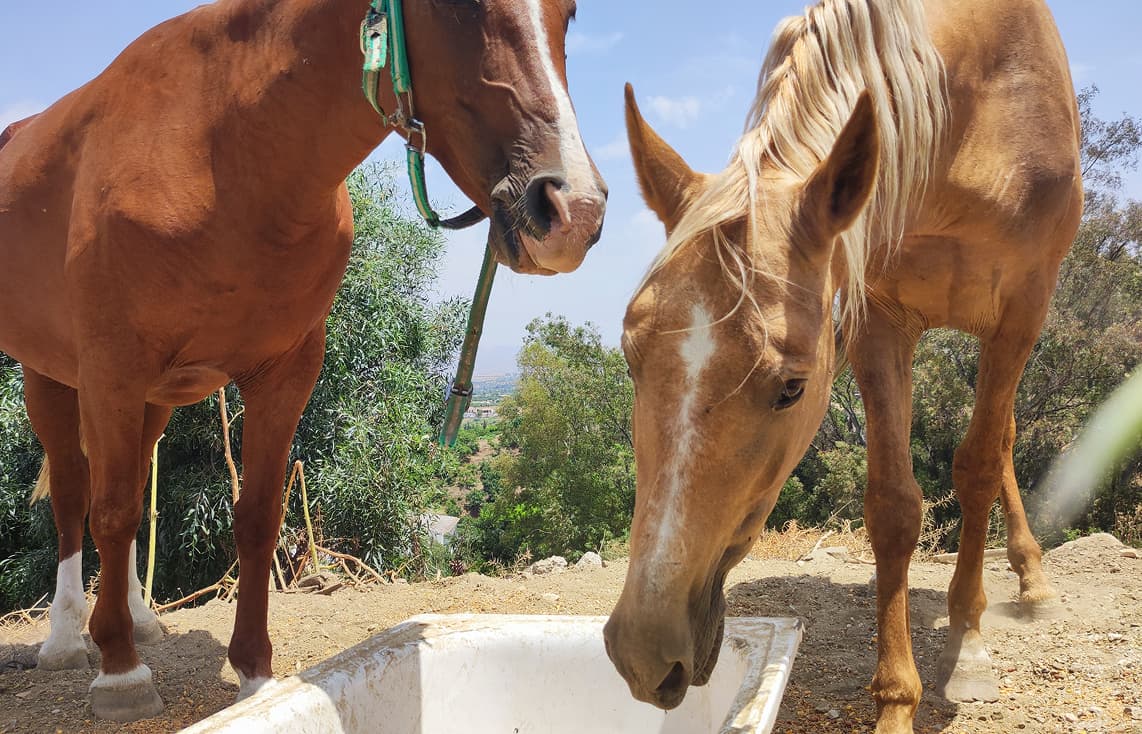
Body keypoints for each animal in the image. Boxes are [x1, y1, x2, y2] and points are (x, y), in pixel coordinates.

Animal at [0, 0, 606, 723]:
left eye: (570, 16)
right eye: (454, 7)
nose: (573, 209)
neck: (218, 152)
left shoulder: (285, 372)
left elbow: (258, 515)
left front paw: (255, 676)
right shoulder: (111, 369)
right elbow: (111, 510)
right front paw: (120, 672)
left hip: (154, 398)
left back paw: (142, 619)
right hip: (54, 376)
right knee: (73, 491)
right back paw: (68, 637)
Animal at [602, 0, 1081, 731]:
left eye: (791, 389)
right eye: (632, 356)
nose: (643, 650)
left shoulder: (1021, 307)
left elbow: (974, 469)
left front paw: (967, 649)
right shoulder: (878, 318)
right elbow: (893, 507)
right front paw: (896, 700)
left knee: (997, 443)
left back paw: (1031, 584)